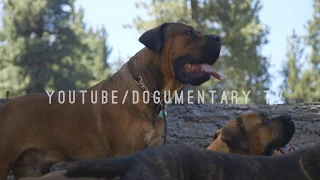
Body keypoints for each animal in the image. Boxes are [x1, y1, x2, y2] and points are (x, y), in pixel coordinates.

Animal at [0, 22, 222, 180]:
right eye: (190, 33)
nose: (219, 37)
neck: (148, 90)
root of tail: (8, 104)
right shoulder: (122, 155)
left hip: (30, 168)